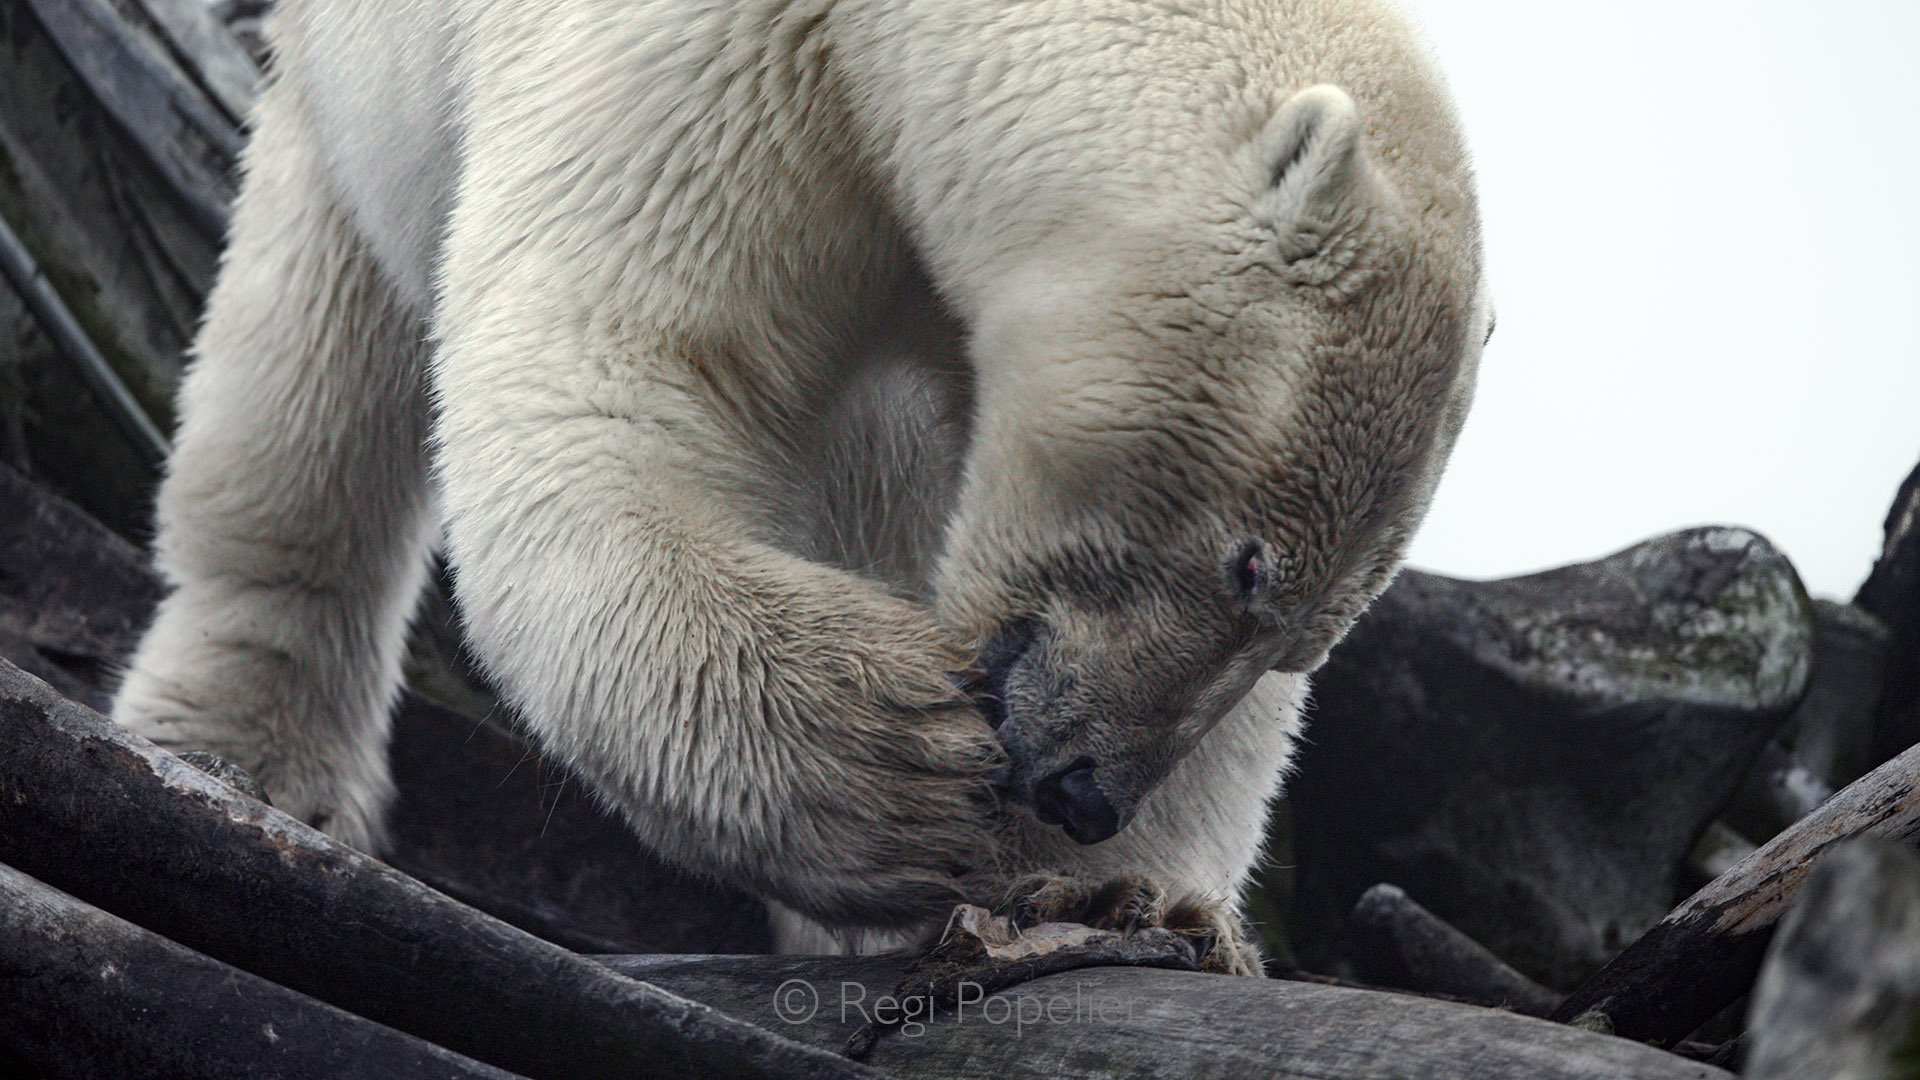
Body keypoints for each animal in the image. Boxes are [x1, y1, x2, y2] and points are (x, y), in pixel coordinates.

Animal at [112, 0, 1487, 973]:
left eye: (1302, 639)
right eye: (1246, 564)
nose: (1086, 792)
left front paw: (1125, 896)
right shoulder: (722, 67)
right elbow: (618, 380)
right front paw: (898, 757)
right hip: (347, 100)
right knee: (309, 372)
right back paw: (244, 745)